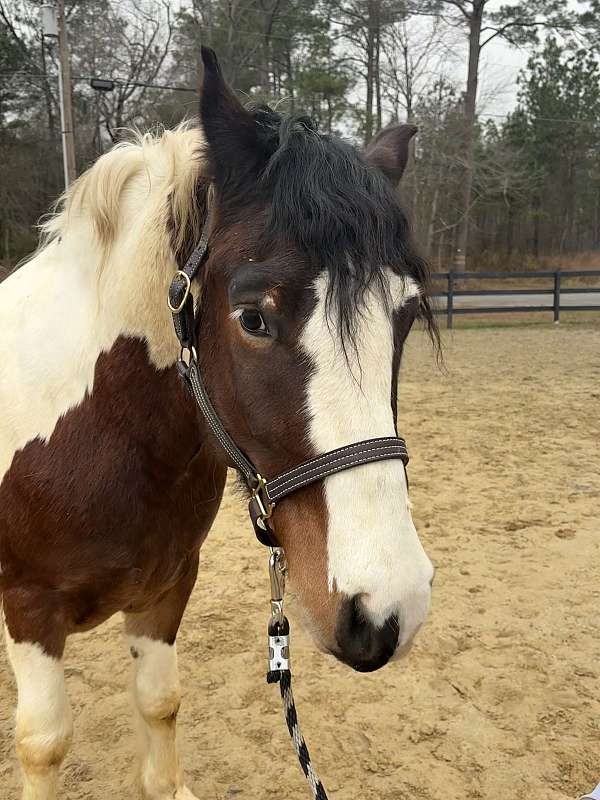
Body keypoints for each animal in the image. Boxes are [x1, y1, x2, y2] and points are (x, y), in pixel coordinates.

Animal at [1, 48, 436, 800]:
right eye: (253, 317)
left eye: (405, 312)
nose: (387, 609)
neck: (97, 439)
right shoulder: (29, 609)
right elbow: (44, 742)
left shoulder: (166, 587)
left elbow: (159, 704)